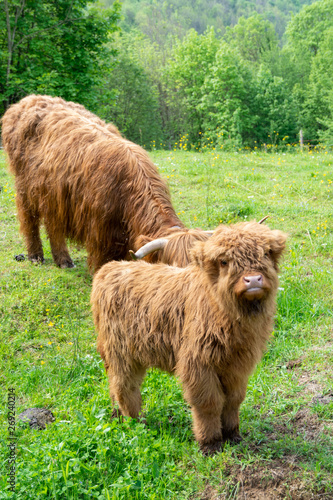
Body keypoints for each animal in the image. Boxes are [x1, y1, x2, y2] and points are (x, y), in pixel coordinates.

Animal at [0, 95, 195, 272]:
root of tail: (27, 100)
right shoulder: (100, 230)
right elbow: (103, 259)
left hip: (53, 194)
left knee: (52, 224)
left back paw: (63, 260)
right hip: (25, 186)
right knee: (29, 219)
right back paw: (36, 256)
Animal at [91, 221, 286, 456]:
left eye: (266, 253)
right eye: (224, 261)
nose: (253, 279)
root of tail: (109, 269)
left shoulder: (238, 365)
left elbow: (233, 399)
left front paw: (233, 435)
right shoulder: (198, 364)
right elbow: (209, 403)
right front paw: (210, 443)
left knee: (114, 383)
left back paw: (117, 416)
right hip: (120, 352)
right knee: (124, 386)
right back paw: (136, 422)